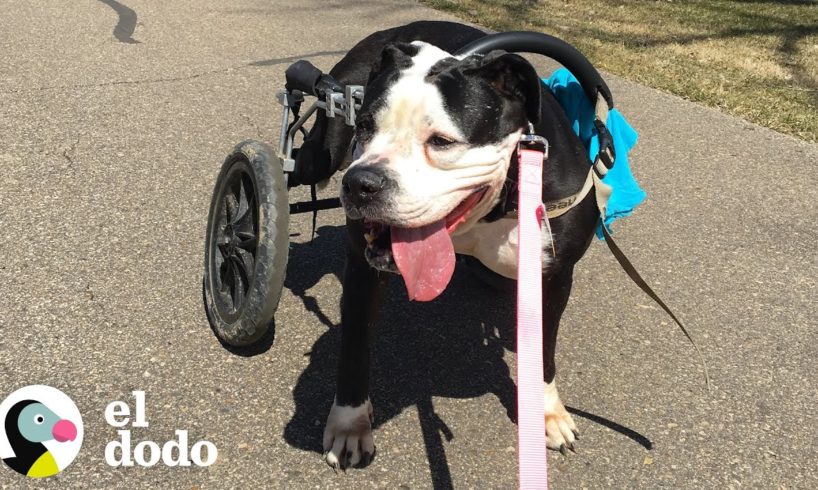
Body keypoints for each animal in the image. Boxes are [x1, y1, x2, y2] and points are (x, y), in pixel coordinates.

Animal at [294, 21, 600, 468]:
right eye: (364, 126)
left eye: (441, 141)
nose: (361, 183)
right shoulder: (363, 268)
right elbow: (353, 348)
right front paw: (350, 424)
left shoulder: (553, 276)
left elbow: (542, 350)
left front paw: (545, 413)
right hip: (322, 151)